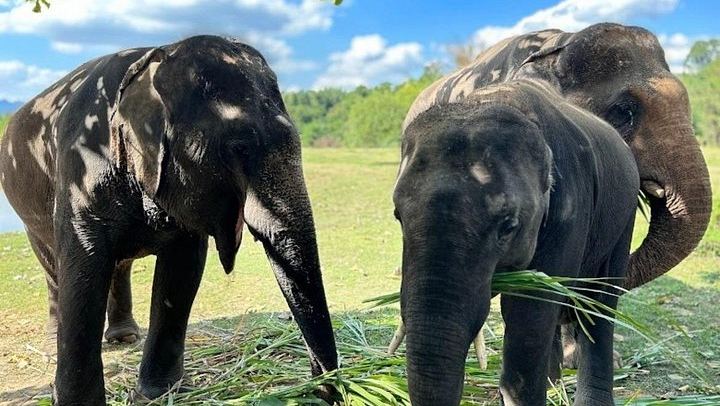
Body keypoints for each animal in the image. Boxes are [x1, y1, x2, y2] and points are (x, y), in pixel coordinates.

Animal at [0, 35, 337, 404]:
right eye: (239, 149)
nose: (324, 389)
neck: (155, 58)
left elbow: (182, 270)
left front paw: (160, 393)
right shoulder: (81, 166)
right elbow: (83, 268)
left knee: (118, 264)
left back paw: (124, 337)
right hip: (29, 210)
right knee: (53, 267)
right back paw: (53, 343)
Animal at [395, 79, 640, 405]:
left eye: (508, 226)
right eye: (397, 215)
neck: (494, 99)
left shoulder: (570, 209)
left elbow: (528, 313)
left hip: (624, 215)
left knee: (600, 302)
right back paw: (552, 384)